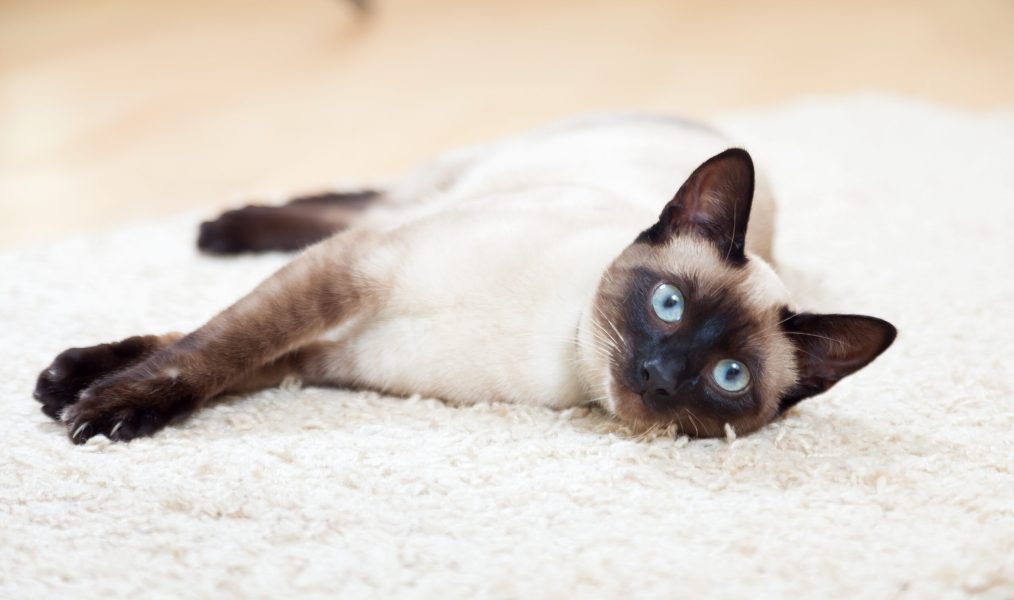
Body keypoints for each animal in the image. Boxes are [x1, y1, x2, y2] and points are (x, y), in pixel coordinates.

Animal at [31, 113, 896, 439]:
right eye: (669, 303)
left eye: (726, 376)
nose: (655, 372)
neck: (557, 351)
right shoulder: (351, 276)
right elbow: (208, 348)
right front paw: (101, 400)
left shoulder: (325, 352)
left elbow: (214, 356)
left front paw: (87, 391)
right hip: (418, 201)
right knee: (354, 200)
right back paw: (220, 230)